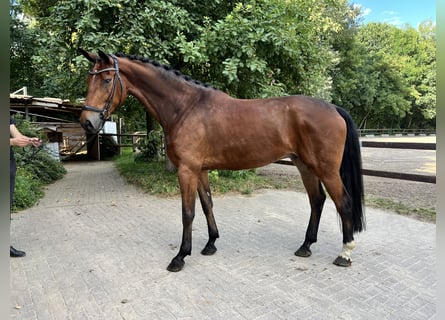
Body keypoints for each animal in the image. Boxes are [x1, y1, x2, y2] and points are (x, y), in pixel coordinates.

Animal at [79, 48, 364, 272]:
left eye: (107, 80)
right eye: (88, 80)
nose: (87, 123)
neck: (185, 108)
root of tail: (333, 108)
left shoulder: (187, 170)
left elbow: (188, 212)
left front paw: (180, 256)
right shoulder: (200, 170)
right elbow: (207, 205)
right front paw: (210, 244)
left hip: (326, 169)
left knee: (343, 202)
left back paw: (345, 254)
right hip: (304, 165)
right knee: (317, 200)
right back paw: (305, 246)